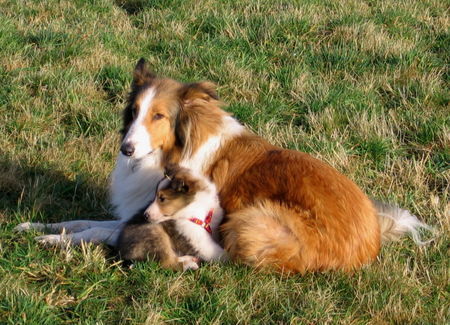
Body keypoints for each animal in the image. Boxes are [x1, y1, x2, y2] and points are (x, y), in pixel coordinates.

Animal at [15, 58, 430, 274]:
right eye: (133, 111)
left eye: (159, 116)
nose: (126, 149)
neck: (175, 150)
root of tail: (371, 241)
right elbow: (81, 220)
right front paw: (35, 226)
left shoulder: (153, 216)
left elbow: (98, 231)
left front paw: (54, 241)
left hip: (248, 220)